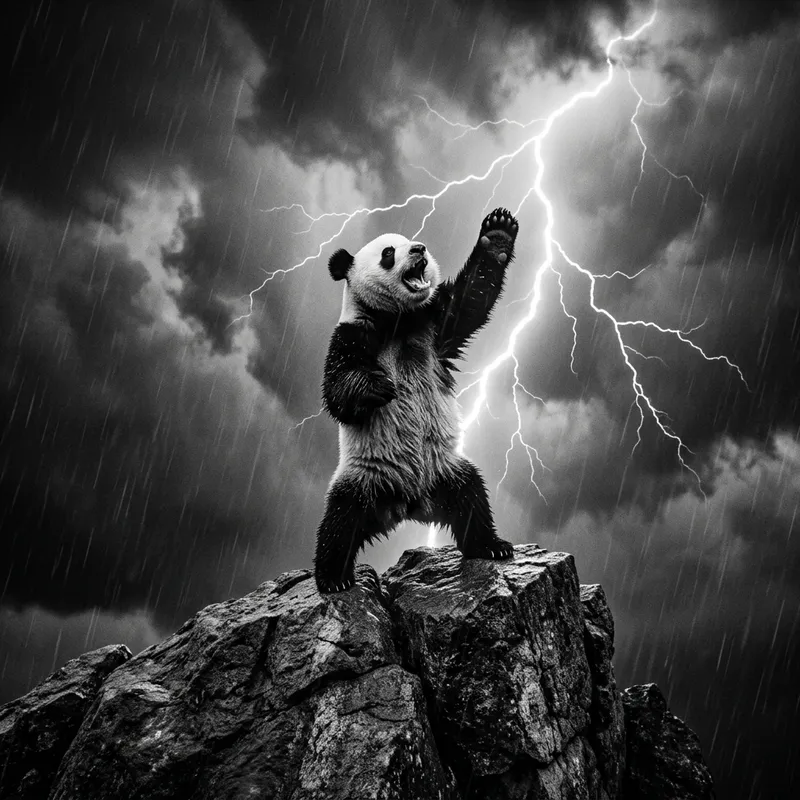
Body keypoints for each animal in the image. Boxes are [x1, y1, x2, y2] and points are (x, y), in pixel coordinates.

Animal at [315, 207, 519, 593]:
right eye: (388, 252)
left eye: (411, 240)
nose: (419, 249)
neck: (398, 321)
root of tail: (406, 504)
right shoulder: (352, 333)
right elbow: (337, 390)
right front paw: (379, 387)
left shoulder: (434, 326)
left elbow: (470, 300)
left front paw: (498, 233)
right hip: (364, 475)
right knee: (340, 519)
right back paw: (333, 577)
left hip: (445, 468)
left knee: (472, 495)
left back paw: (491, 546)